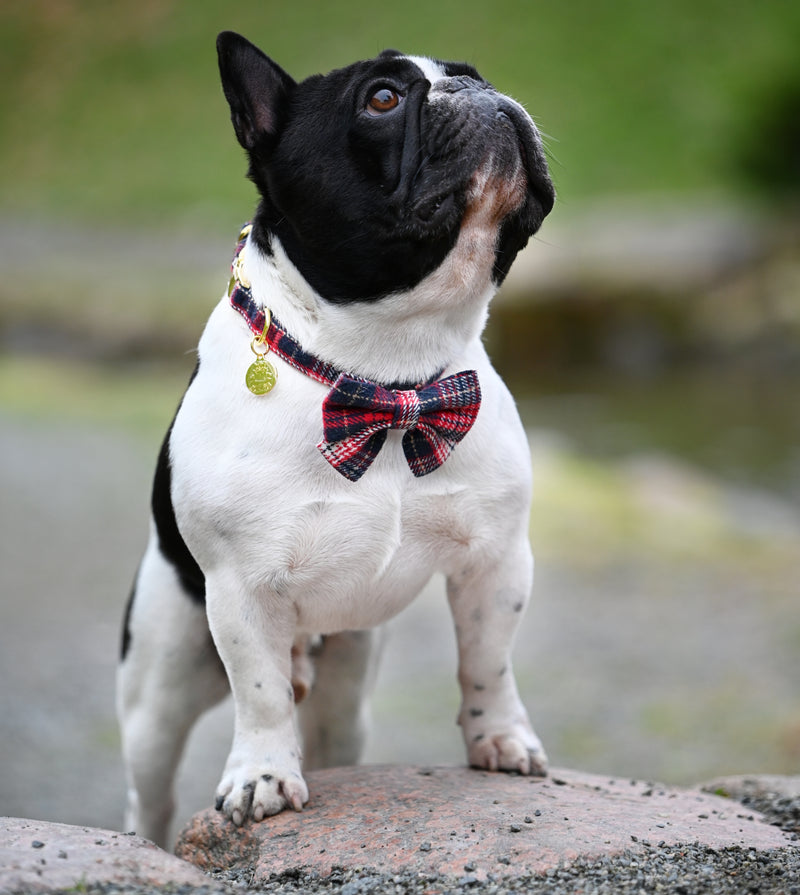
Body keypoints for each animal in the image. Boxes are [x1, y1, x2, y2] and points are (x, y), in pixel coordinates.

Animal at [119, 29, 552, 848]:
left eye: (475, 75)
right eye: (382, 98)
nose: (481, 95)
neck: (389, 377)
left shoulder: (496, 558)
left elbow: (490, 658)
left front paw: (501, 738)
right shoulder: (241, 588)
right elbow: (258, 692)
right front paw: (260, 776)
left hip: (348, 689)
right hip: (159, 682)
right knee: (151, 790)